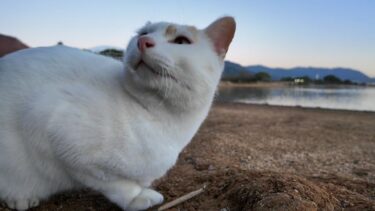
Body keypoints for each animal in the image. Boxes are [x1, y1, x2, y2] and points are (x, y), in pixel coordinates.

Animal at [0, 17, 235, 210]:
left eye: (182, 41)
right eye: (143, 33)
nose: (143, 42)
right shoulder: (58, 133)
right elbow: (114, 183)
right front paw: (138, 197)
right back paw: (21, 199)